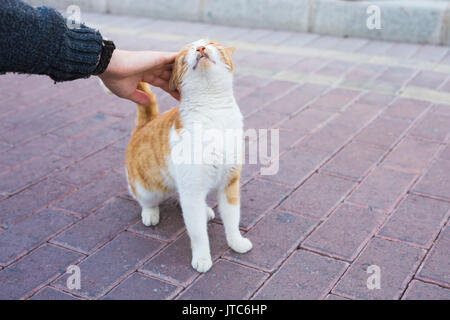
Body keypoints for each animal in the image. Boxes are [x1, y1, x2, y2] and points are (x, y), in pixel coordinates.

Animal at [126, 38, 251, 272]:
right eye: (186, 53)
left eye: (211, 43)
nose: (200, 48)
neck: (213, 112)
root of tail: (145, 124)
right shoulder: (192, 190)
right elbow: (198, 232)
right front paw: (202, 258)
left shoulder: (229, 183)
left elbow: (232, 219)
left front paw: (236, 242)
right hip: (147, 188)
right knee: (146, 201)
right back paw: (150, 213)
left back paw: (206, 211)